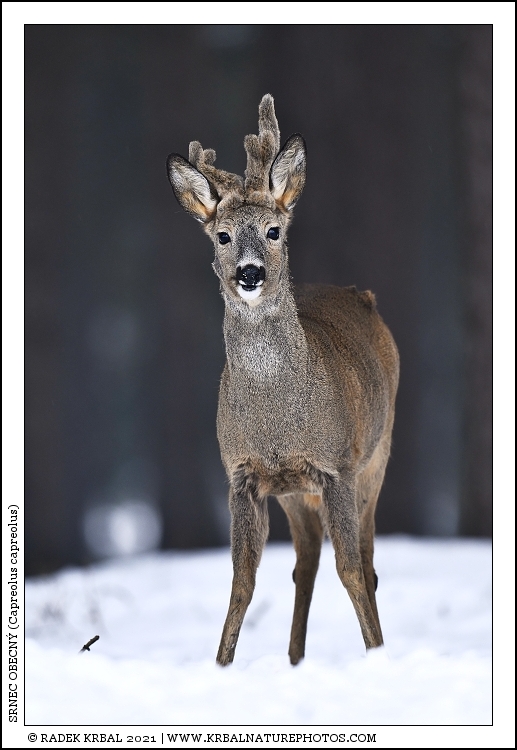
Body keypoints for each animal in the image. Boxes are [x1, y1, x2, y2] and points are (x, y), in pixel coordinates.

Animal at [166, 94, 399, 666]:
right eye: (223, 235)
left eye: (274, 231)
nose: (249, 272)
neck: (277, 419)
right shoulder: (241, 473)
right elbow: (242, 579)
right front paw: (222, 664)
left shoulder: (336, 466)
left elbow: (351, 569)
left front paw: (374, 652)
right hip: (296, 490)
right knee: (307, 560)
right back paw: (295, 659)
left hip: (377, 455)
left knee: (365, 558)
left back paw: (376, 647)